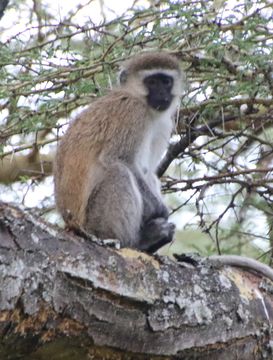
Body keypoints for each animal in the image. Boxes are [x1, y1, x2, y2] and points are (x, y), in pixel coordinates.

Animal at [54, 51, 182, 253]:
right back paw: (137, 241)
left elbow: (148, 171)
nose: (162, 94)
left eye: (166, 81)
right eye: (152, 82)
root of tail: (71, 225)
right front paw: (159, 210)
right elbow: (119, 159)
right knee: (119, 172)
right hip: (93, 222)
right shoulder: (132, 112)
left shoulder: (163, 125)